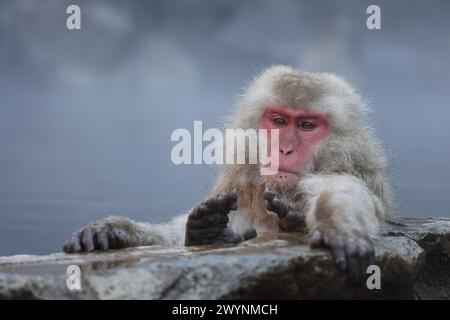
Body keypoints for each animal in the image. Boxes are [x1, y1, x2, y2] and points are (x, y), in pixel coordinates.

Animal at [62, 65, 390, 282]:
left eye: (307, 125)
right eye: (279, 121)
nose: (284, 148)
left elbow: (345, 189)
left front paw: (340, 224)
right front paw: (115, 229)